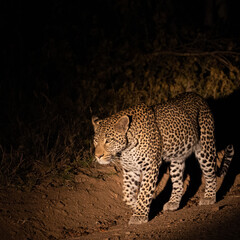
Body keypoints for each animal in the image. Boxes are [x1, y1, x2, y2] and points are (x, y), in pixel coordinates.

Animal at [91, 92, 233, 225]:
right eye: (95, 141)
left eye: (108, 141)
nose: (98, 156)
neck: (125, 149)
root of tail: (198, 96)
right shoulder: (131, 169)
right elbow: (127, 194)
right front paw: (139, 206)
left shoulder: (150, 166)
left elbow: (144, 192)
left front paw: (139, 215)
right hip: (177, 158)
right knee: (178, 182)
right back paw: (173, 203)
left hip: (205, 147)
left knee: (210, 174)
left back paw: (209, 197)